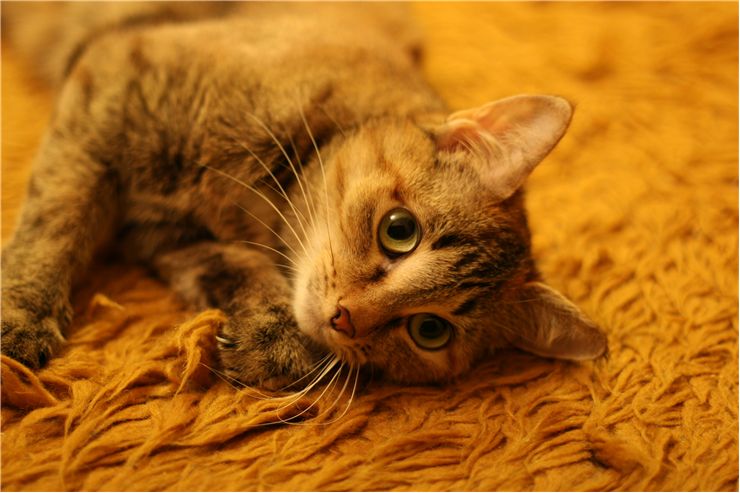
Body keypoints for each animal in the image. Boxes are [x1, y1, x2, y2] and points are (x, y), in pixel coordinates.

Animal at [1, 2, 608, 388]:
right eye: (399, 230)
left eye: (429, 331)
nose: (344, 319)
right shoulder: (105, 91)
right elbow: (55, 226)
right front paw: (21, 318)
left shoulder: (163, 235)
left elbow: (231, 267)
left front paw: (274, 337)